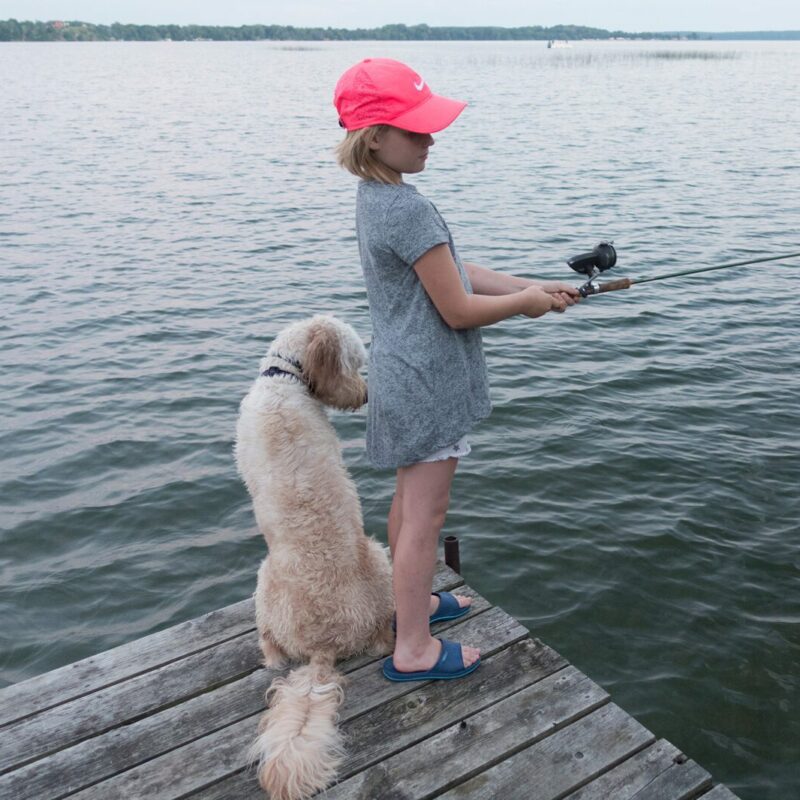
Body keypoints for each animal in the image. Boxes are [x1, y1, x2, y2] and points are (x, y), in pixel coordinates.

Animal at [233, 314, 396, 800]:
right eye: (354, 362)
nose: (365, 395)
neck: (283, 380)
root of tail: (323, 648)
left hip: (269, 576)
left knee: (271, 648)